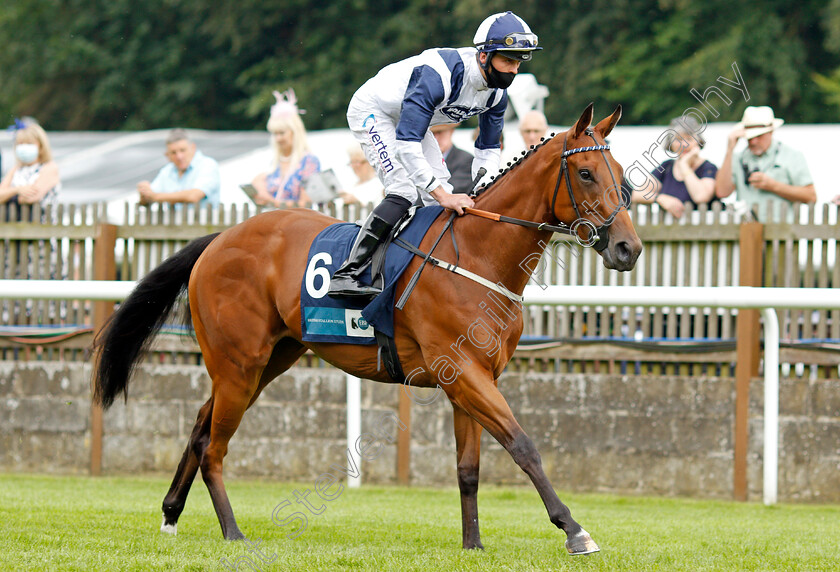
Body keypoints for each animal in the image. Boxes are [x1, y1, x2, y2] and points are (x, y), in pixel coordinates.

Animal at [93, 103, 644, 556]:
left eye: (623, 177)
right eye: (587, 173)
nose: (628, 249)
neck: (477, 255)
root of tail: (220, 238)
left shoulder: (471, 377)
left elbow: (469, 468)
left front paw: (473, 544)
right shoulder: (464, 372)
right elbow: (523, 445)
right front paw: (574, 529)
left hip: (266, 361)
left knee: (200, 425)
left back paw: (171, 514)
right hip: (238, 364)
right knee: (214, 446)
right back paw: (232, 531)